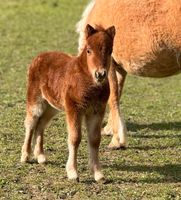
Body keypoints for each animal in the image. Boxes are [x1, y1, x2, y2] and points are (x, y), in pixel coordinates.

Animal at [20, 24, 115, 182]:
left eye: (110, 51)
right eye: (88, 50)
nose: (100, 74)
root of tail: (39, 56)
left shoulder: (97, 110)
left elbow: (95, 139)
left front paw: (98, 174)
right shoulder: (74, 109)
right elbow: (75, 138)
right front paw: (72, 173)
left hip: (52, 106)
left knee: (41, 124)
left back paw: (40, 156)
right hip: (35, 101)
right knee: (31, 123)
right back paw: (25, 156)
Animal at [77, 0, 181, 149]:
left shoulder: (109, 65)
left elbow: (112, 97)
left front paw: (116, 140)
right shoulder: (118, 68)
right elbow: (116, 94)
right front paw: (110, 130)